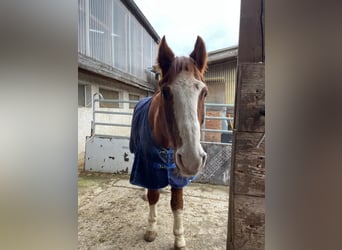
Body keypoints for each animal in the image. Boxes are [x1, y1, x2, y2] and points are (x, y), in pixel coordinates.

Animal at [129, 36, 207, 249]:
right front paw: (151, 229)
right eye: (165, 92)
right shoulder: (147, 167)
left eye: (204, 92)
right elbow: (153, 196)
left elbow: (177, 204)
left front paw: (179, 238)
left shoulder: (177, 172)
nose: (191, 159)